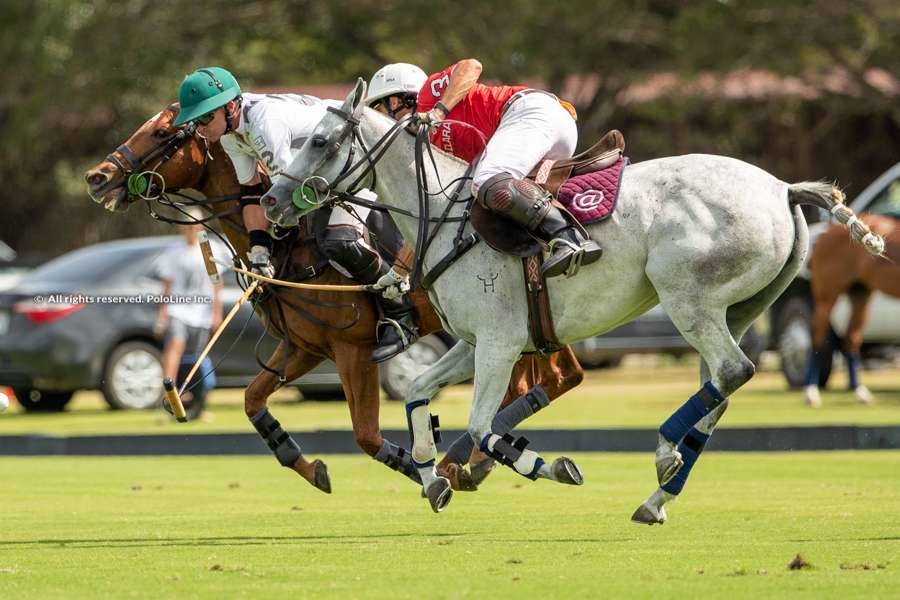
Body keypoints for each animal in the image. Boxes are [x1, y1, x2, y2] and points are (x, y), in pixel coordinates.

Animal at [86, 104, 584, 492]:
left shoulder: (353, 348)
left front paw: (419, 469)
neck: (292, 243)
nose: (97, 177)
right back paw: (471, 462)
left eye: (163, 133)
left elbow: (365, 435)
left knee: (549, 378)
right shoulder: (304, 347)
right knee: (558, 376)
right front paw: (311, 468)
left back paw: (466, 464)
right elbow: (252, 400)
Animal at [804, 213, 896, 406]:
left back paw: (859, 391)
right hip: (827, 295)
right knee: (818, 337)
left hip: (860, 293)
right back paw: (811, 392)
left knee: (851, 338)